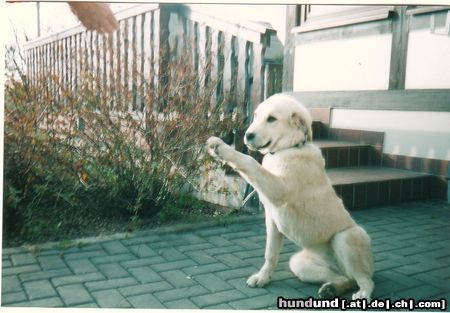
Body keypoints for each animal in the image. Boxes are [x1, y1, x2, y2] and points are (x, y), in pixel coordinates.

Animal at [207, 94, 372, 298]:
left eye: (271, 119)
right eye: (256, 116)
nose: (247, 135)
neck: (288, 148)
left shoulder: (279, 189)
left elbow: (250, 161)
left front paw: (221, 147)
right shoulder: (271, 220)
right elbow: (270, 253)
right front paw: (263, 277)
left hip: (346, 237)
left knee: (365, 279)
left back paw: (362, 293)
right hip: (299, 264)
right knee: (347, 279)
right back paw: (331, 289)